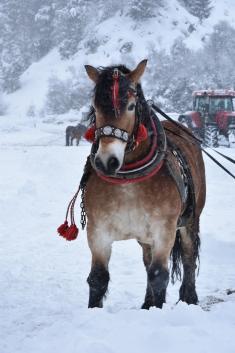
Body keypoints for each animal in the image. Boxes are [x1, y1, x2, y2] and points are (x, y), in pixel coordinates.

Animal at [81, 60, 206, 308]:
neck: (129, 180)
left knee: (188, 256)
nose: (106, 161)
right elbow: (98, 277)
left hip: (190, 220)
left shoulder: (164, 230)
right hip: (145, 236)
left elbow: (159, 275)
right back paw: (147, 302)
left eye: (130, 106)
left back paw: (189, 297)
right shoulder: (98, 231)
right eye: (96, 107)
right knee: (147, 261)